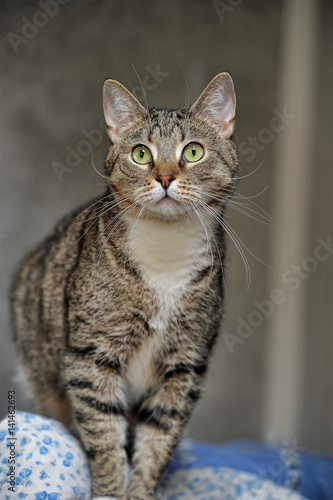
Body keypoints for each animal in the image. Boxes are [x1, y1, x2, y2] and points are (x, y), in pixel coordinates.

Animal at [11, 71, 239, 500]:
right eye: (141, 155)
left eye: (193, 151)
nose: (164, 177)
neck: (165, 255)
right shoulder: (91, 358)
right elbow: (104, 441)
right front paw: (111, 490)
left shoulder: (184, 367)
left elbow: (157, 443)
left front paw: (143, 490)